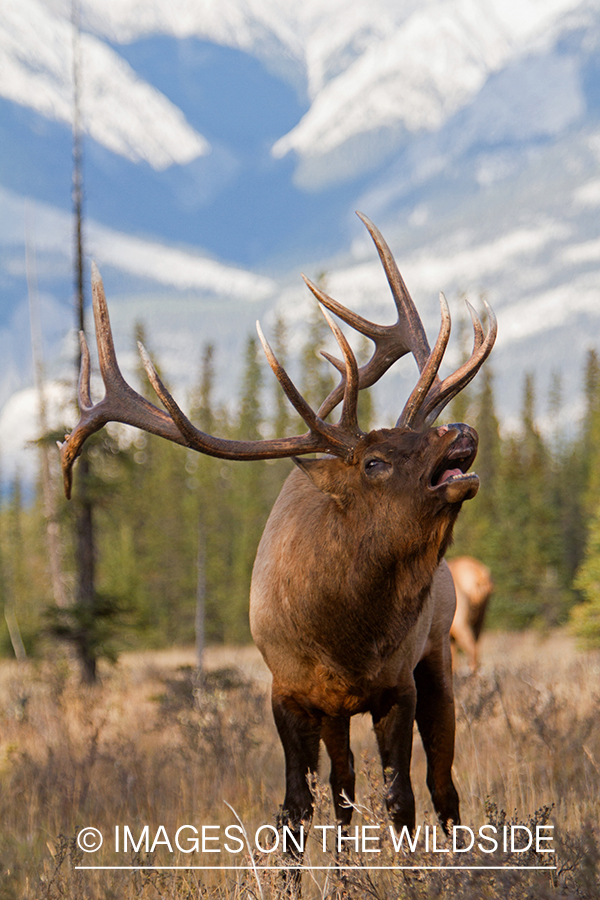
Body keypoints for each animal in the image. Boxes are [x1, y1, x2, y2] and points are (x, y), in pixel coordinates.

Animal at [58, 214, 496, 868]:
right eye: (374, 461)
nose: (460, 429)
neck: (344, 633)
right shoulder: (288, 692)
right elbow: (294, 810)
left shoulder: (396, 683)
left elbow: (402, 801)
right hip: (343, 708)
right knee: (343, 788)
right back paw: (344, 866)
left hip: (439, 650)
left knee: (443, 784)